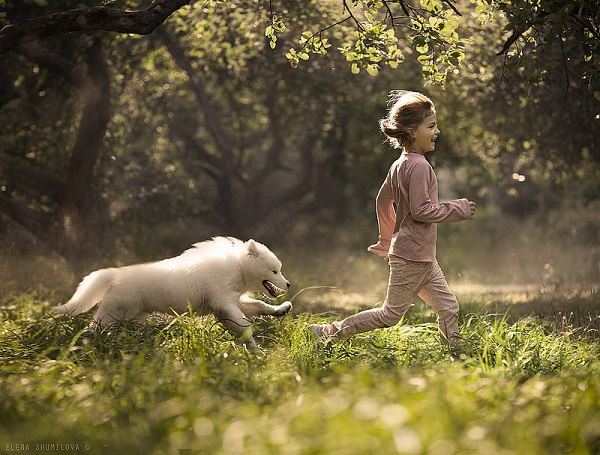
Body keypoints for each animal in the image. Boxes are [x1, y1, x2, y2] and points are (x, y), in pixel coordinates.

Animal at [54, 237, 292, 348]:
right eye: (275, 271)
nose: (288, 284)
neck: (238, 267)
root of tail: (115, 274)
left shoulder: (229, 302)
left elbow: (259, 306)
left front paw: (281, 310)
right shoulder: (224, 303)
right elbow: (244, 325)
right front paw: (255, 349)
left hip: (130, 316)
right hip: (112, 313)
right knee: (91, 328)